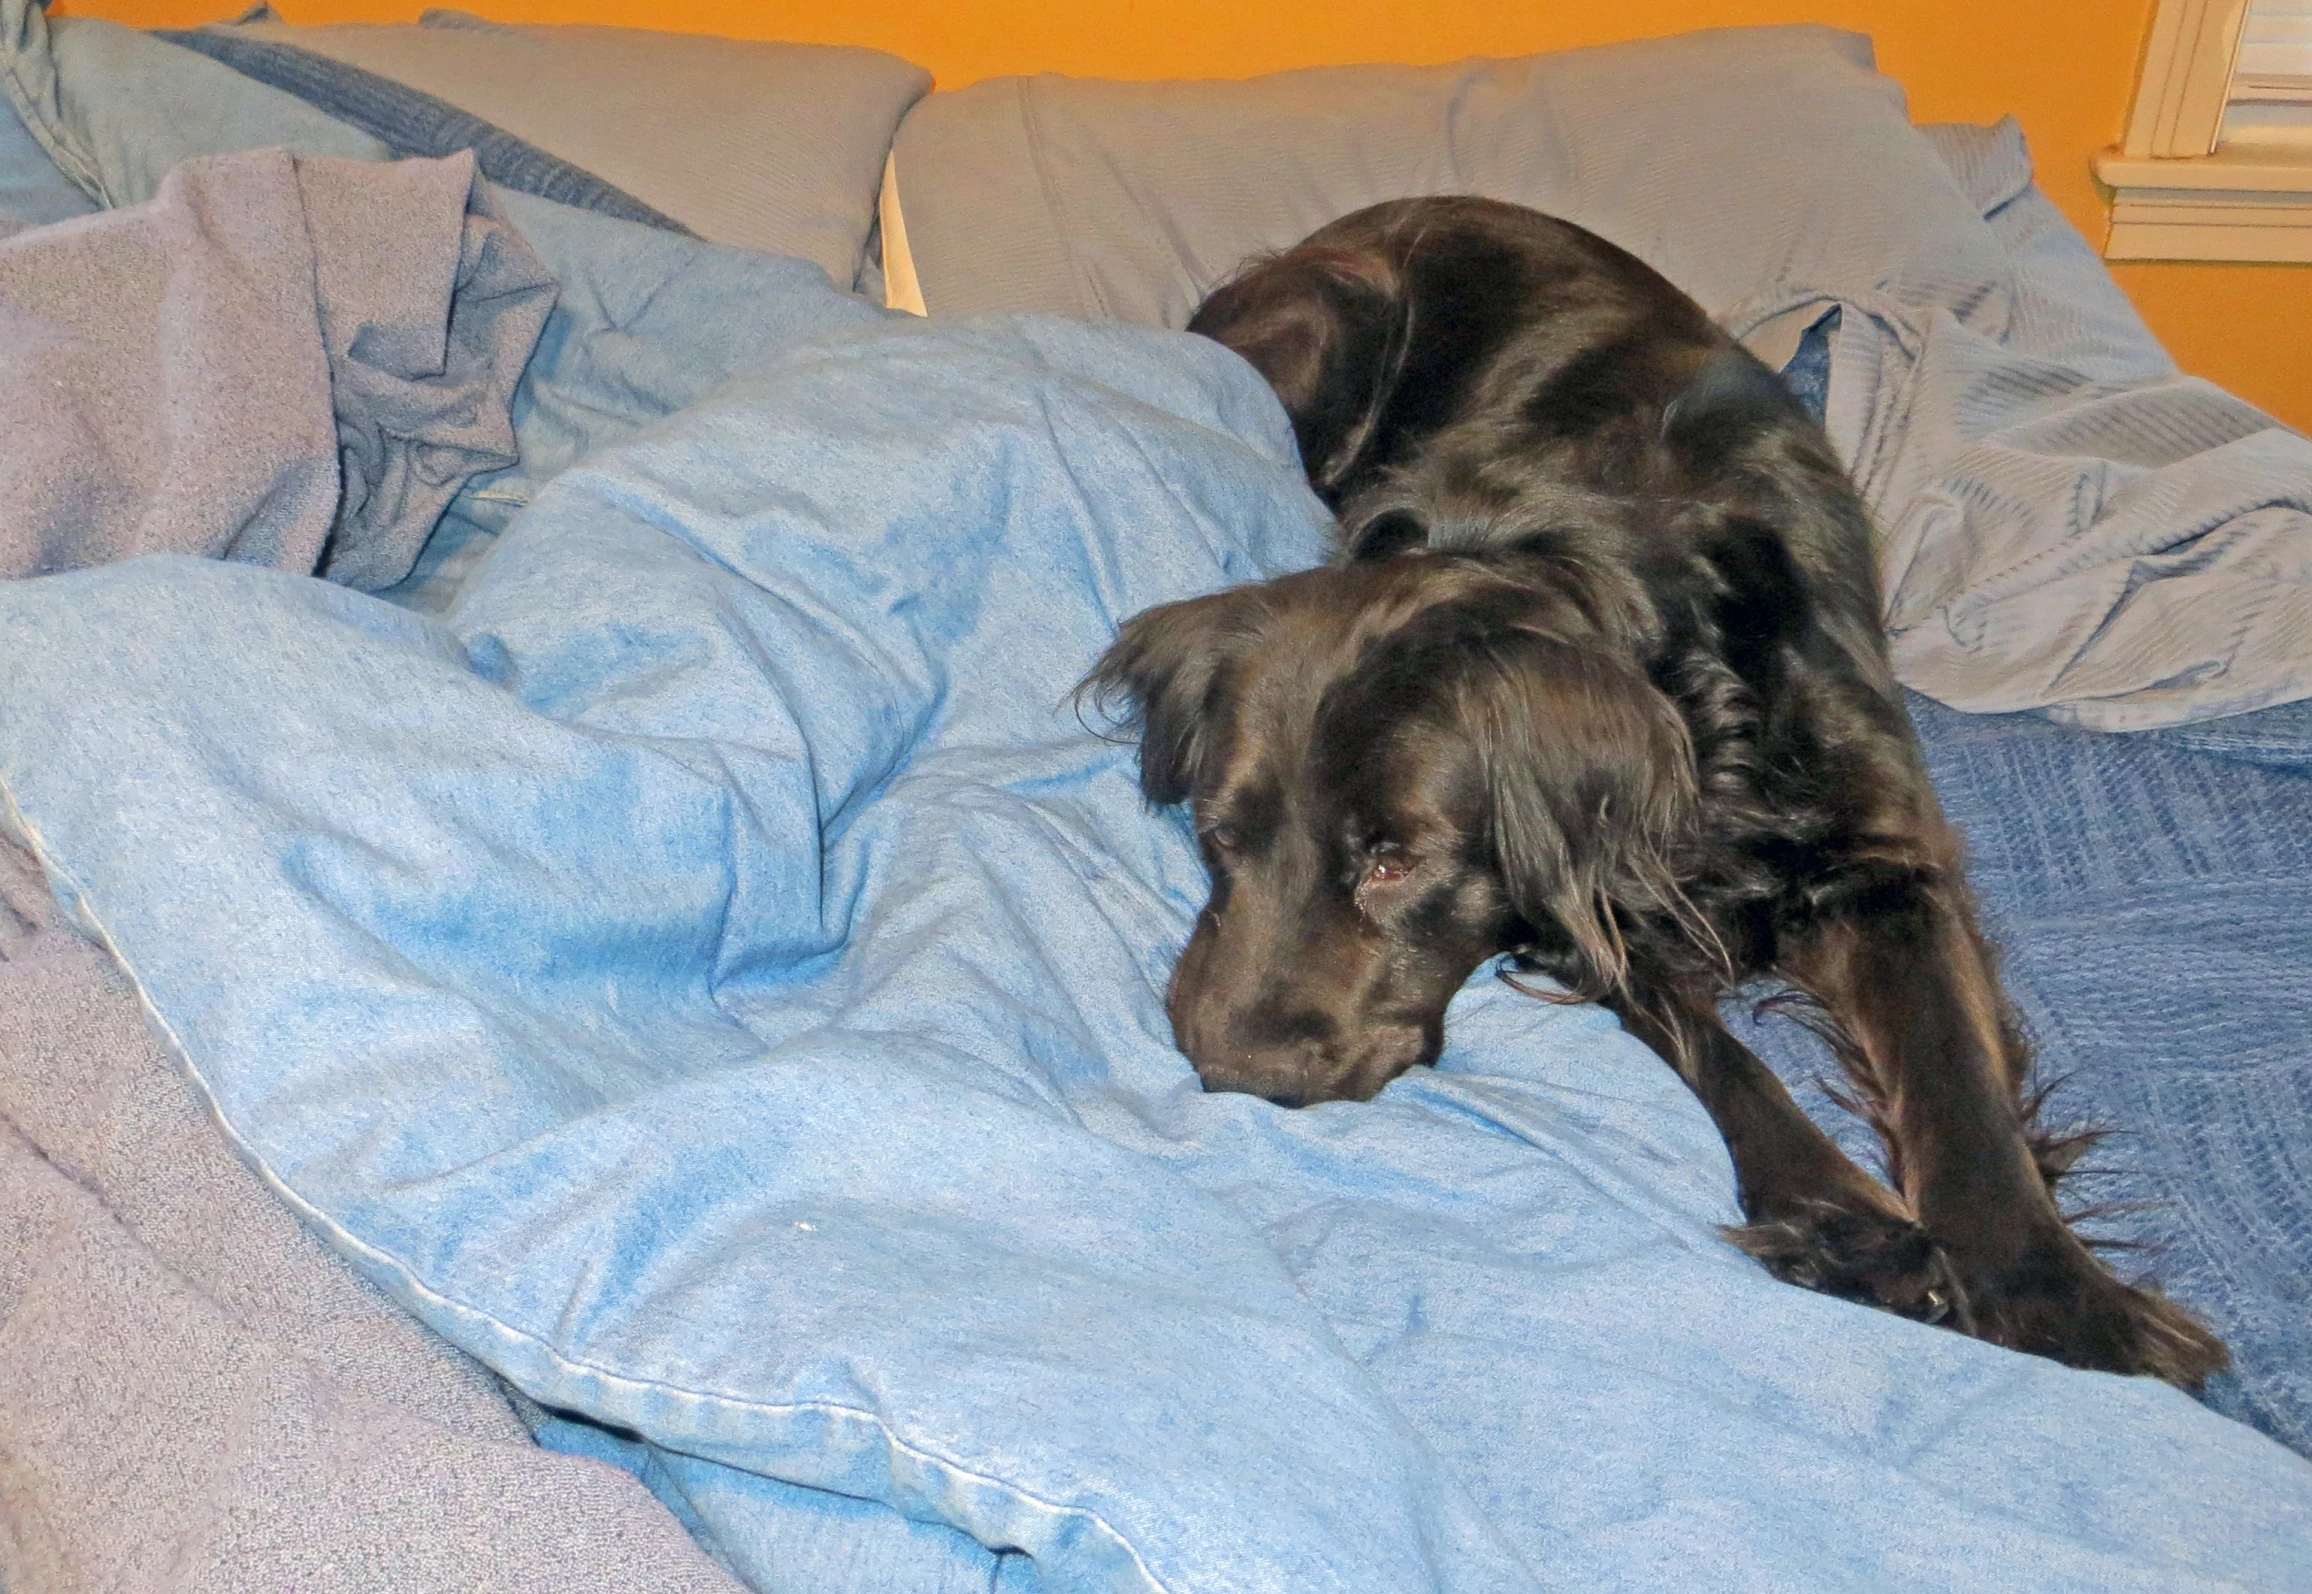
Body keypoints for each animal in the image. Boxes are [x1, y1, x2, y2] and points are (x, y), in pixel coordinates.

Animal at [1091, 198, 2228, 1388]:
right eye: (1219, 838)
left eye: (1394, 862)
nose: (1231, 1068)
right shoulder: (1589, 902)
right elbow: (1716, 1053)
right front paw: (1851, 1225)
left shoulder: (1879, 854)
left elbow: (1956, 1077)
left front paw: (2060, 1301)